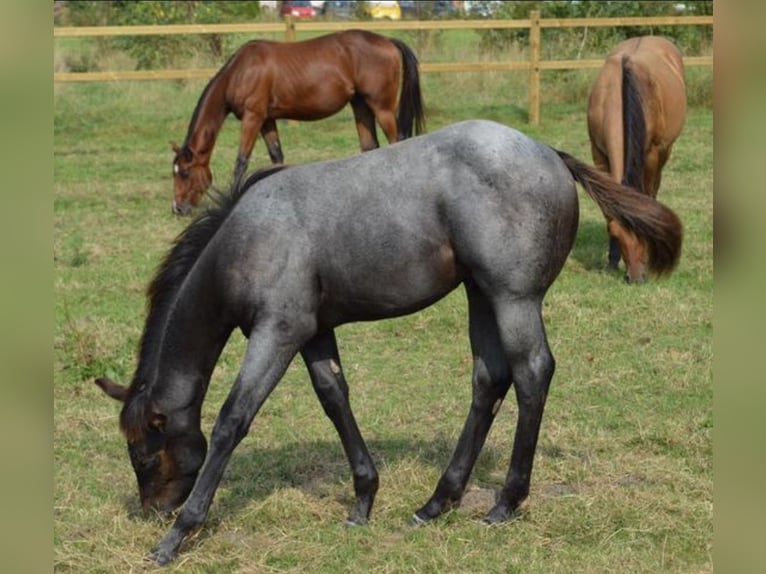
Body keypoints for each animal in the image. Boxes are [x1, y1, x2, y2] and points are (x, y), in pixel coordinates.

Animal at [97, 121, 684, 568]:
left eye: (142, 452)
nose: (153, 510)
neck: (249, 236)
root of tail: (551, 154)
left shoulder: (277, 332)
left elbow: (231, 422)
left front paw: (178, 537)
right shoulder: (313, 332)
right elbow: (335, 398)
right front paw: (363, 500)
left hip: (512, 298)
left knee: (531, 372)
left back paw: (505, 503)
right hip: (479, 294)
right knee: (489, 379)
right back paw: (437, 502)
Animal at [170, 28, 428, 216]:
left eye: (185, 173)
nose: (178, 209)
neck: (241, 72)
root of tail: (387, 41)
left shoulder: (253, 117)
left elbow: (241, 160)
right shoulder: (267, 120)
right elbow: (276, 156)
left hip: (381, 108)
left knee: (396, 142)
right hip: (361, 105)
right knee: (369, 147)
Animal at [588, 36, 688, 284]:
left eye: (645, 234)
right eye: (615, 233)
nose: (635, 278)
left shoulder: (651, 154)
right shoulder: (598, 154)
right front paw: (612, 262)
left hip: (664, 150)